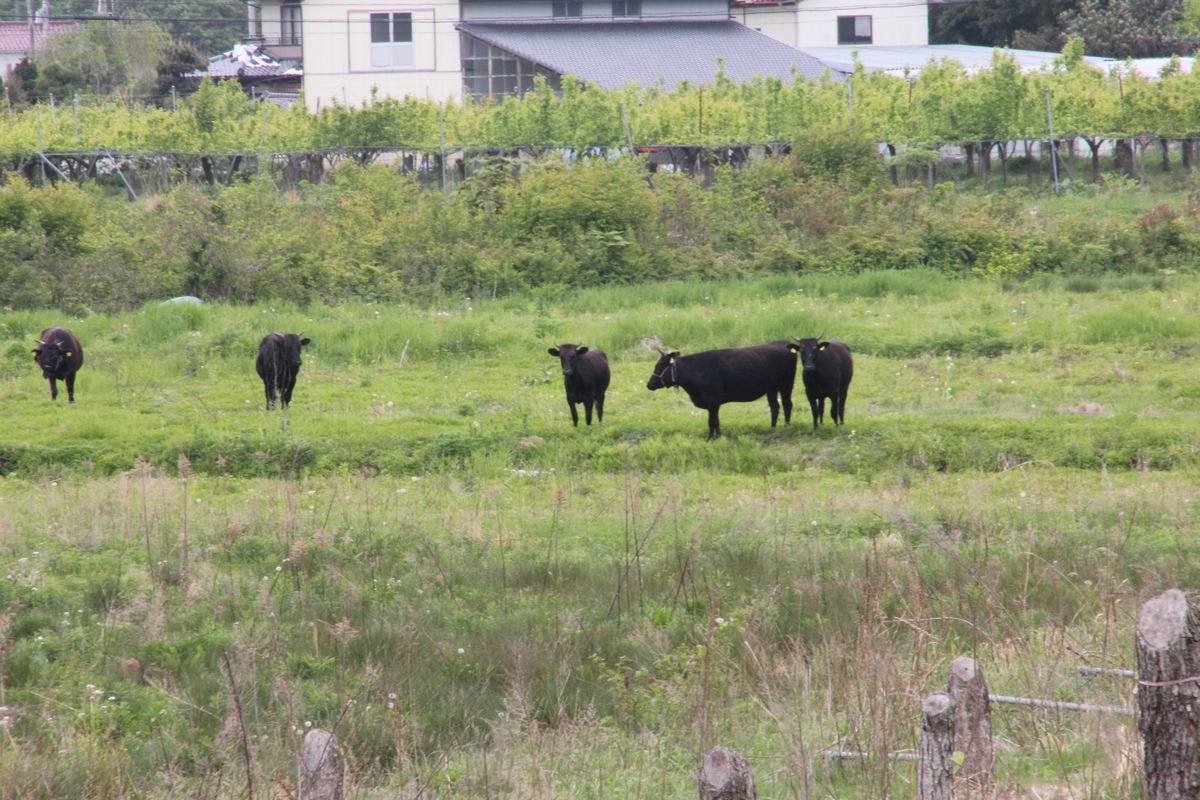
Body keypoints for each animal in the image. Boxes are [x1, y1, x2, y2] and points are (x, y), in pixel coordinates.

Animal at [648, 340, 796, 441]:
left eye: (660, 366)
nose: (649, 385)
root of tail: (783, 342)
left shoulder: (712, 401)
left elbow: (711, 422)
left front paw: (709, 439)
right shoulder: (714, 404)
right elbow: (717, 421)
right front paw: (718, 437)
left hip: (786, 385)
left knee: (787, 405)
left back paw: (787, 427)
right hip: (771, 389)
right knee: (775, 407)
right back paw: (772, 428)